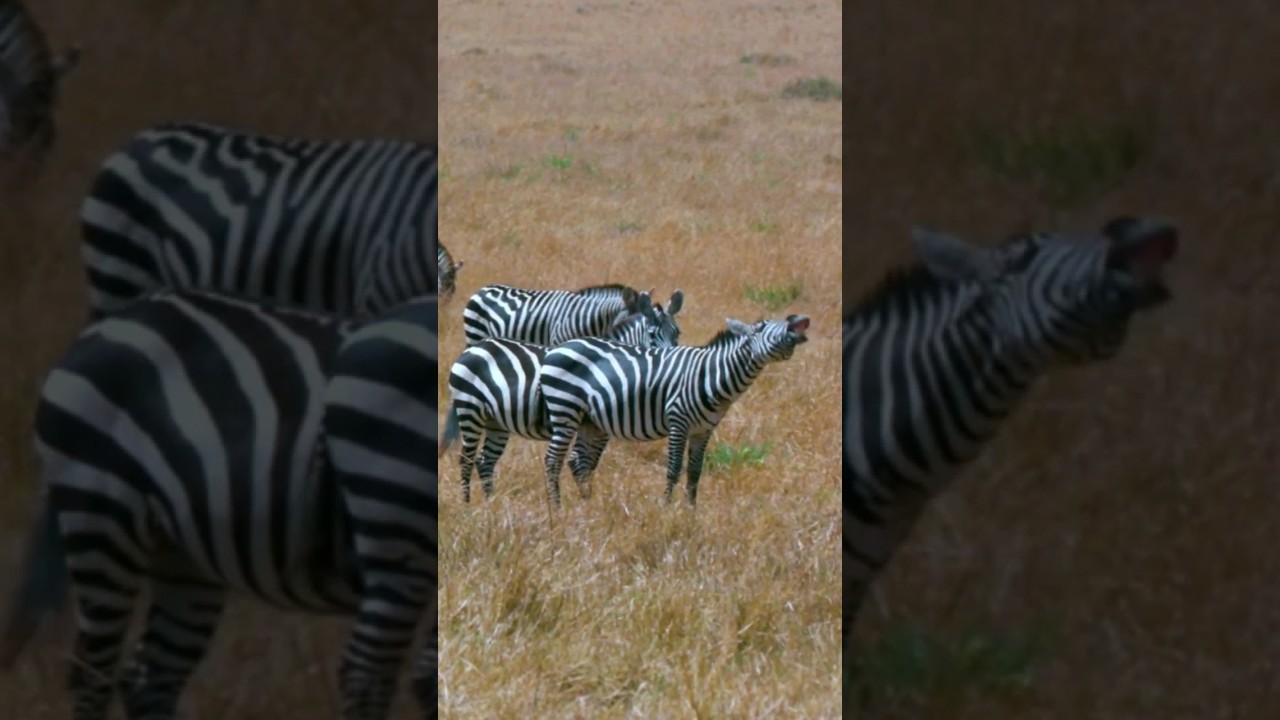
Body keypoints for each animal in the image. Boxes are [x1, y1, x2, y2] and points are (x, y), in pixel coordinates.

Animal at [441, 290, 685, 502]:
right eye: (652, 335)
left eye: (677, 333)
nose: (672, 359)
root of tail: (474, 348)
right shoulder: (597, 428)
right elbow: (584, 464)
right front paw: (584, 501)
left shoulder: (596, 429)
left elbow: (588, 464)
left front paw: (586, 501)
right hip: (470, 410)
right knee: (466, 458)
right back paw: (467, 505)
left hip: (496, 421)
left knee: (484, 461)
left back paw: (489, 503)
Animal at [538, 313, 810, 507]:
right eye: (761, 327)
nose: (794, 326)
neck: (711, 375)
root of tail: (560, 347)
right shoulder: (678, 421)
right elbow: (674, 468)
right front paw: (666, 508)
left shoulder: (703, 430)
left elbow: (695, 471)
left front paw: (690, 511)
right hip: (565, 408)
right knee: (553, 459)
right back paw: (556, 507)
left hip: (589, 420)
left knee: (577, 461)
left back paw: (588, 504)